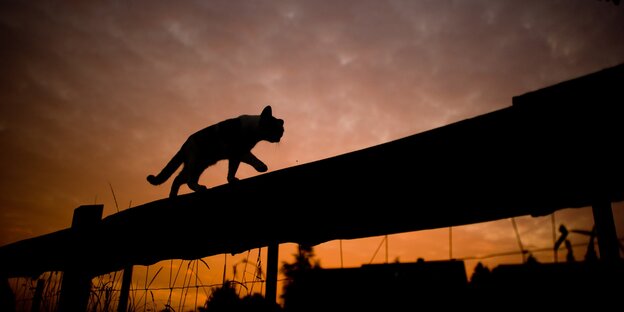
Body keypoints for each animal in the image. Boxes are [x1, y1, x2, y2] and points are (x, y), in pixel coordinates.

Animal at [147, 106, 284, 196]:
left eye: (281, 131)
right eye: (278, 129)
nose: (280, 137)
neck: (252, 130)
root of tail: (184, 145)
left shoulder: (235, 156)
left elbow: (232, 170)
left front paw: (231, 180)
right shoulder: (240, 151)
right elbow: (253, 159)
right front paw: (262, 167)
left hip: (199, 165)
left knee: (178, 179)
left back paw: (173, 196)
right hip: (196, 163)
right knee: (188, 180)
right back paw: (199, 188)